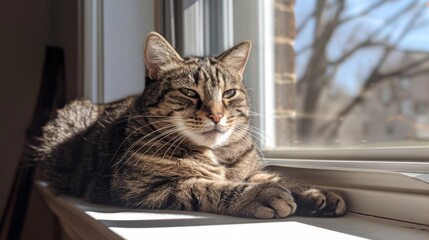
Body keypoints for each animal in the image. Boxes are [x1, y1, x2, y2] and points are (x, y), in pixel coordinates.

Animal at [36, 31, 344, 219]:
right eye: (189, 93)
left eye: (229, 93)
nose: (216, 115)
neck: (216, 154)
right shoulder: (141, 187)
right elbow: (207, 187)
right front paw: (259, 195)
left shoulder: (249, 170)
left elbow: (274, 178)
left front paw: (313, 192)